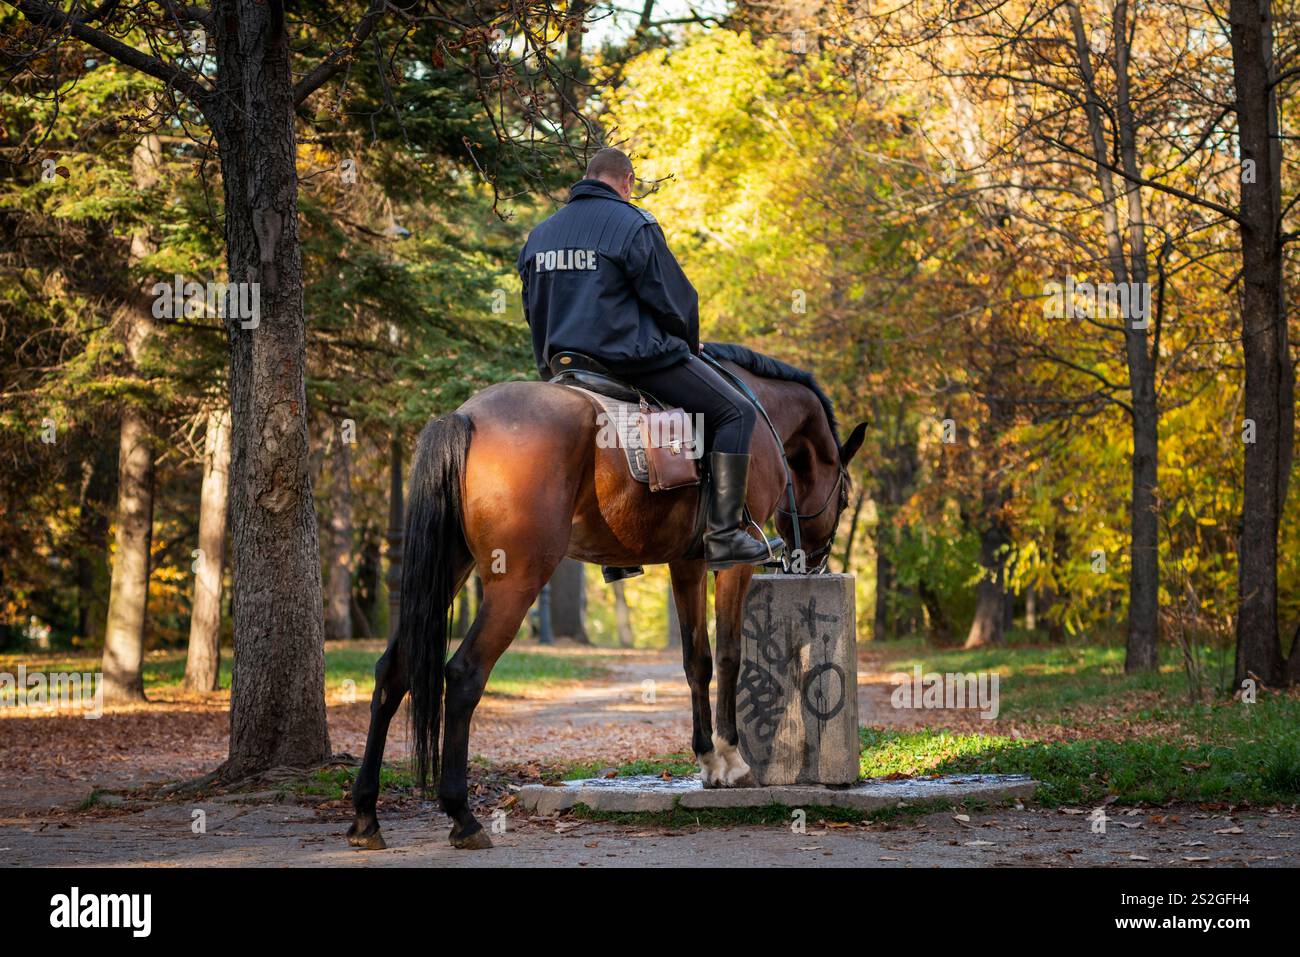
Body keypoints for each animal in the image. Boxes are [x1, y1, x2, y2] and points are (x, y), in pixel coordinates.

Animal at [346, 343, 867, 850]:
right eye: (844, 496)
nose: (814, 562)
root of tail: (465, 416)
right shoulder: (731, 566)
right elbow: (729, 656)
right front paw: (731, 759)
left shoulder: (688, 564)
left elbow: (696, 660)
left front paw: (707, 760)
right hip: (516, 580)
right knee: (463, 674)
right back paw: (462, 816)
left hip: (452, 569)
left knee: (394, 670)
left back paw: (366, 815)